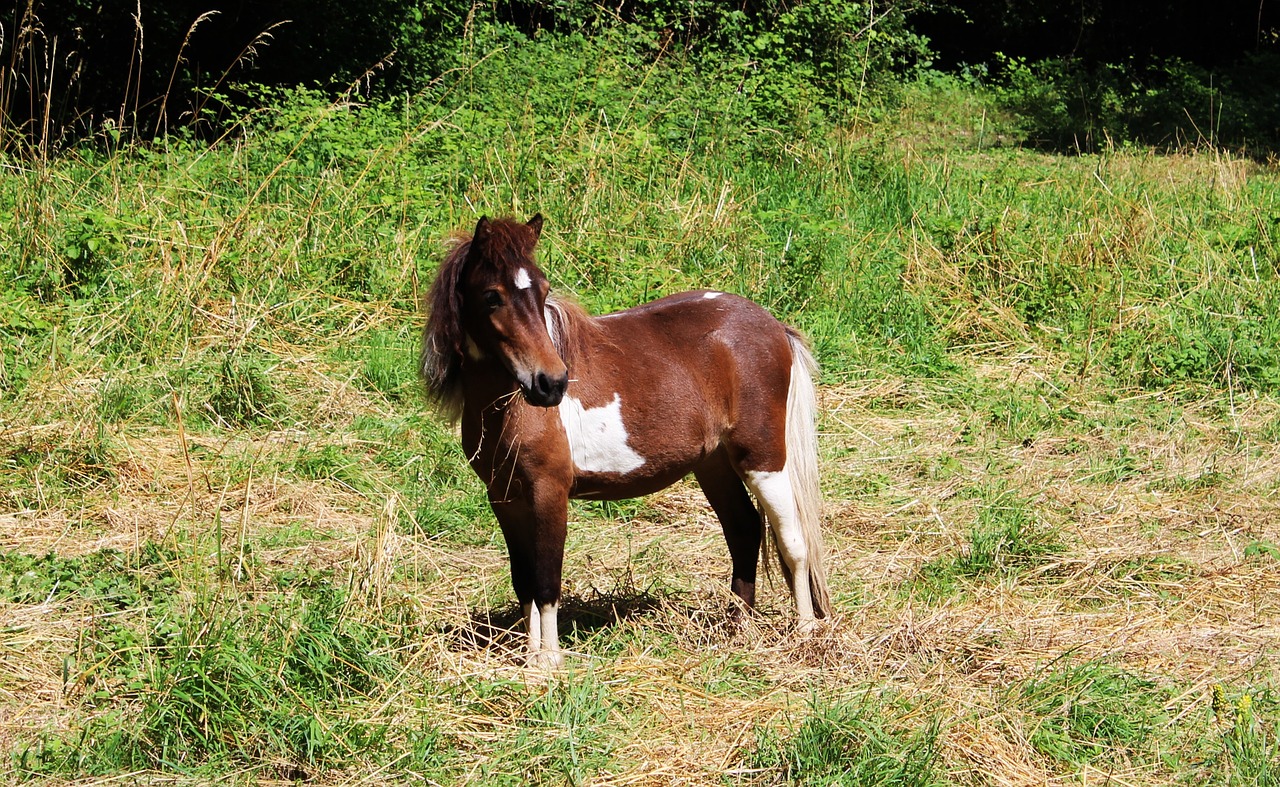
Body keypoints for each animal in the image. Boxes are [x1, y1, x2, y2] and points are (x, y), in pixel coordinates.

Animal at [422, 212, 829, 670]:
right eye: (492, 296)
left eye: (543, 289)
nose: (551, 384)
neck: (510, 406)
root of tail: (773, 325)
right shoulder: (504, 497)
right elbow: (523, 580)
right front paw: (531, 658)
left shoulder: (548, 492)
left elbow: (546, 581)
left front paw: (550, 662)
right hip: (713, 464)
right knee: (743, 529)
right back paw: (735, 626)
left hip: (763, 458)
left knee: (792, 541)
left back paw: (805, 631)